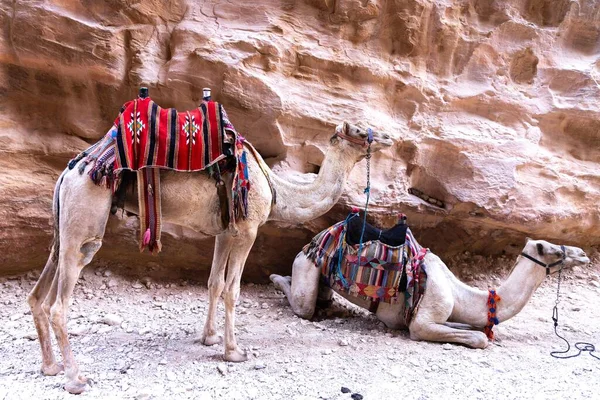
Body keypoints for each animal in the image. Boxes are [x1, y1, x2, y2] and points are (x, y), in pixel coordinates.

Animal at [27, 119, 394, 394]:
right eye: (358, 129)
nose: (390, 137)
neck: (277, 190)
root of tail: (69, 172)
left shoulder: (224, 232)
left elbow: (214, 282)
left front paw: (210, 338)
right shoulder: (248, 229)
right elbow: (233, 290)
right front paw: (234, 351)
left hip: (64, 225)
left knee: (38, 292)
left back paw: (50, 366)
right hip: (86, 219)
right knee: (60, 301)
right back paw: (75, 378)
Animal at [274, 216, 592, 346]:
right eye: (552, 249)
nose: (583, 254)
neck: (460, 293)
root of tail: (314, 240)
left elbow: (470, 327)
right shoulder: (422, 321)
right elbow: (479, 338)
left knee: (323, 298)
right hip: (307, 265)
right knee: (304, 305)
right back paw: (277, 277)